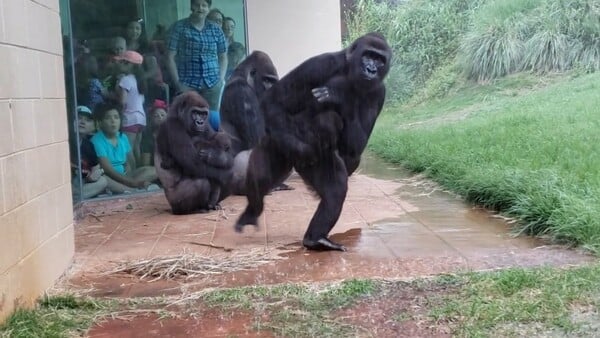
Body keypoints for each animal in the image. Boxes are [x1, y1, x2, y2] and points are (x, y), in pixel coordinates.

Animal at [234, 33, 394, 251]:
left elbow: (355, 148)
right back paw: (254, 206)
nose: (371, 69)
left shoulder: (379, 92)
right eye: (367, 55)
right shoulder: (321, 64)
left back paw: (315, 238)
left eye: (379, 60)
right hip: (277, 138)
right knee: (263, 173)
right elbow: (273, 100)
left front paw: (337, 96)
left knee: (335, 189)